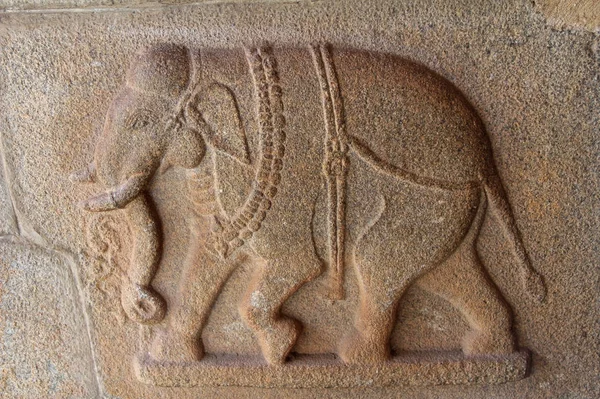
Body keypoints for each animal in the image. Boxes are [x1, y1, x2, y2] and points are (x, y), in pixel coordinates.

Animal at [72, 43, 548, 366]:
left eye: (141, 122)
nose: (144, 306)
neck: (216, 62)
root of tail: (485, 154)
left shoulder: (275, 182)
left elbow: (295, 263)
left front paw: (282, 346)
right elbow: (207, 256)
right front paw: (172, 357)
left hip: (429, 197)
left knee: (377, 261)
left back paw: (358, 359)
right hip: (451, 209)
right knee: (448, 273)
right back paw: (491, 351)